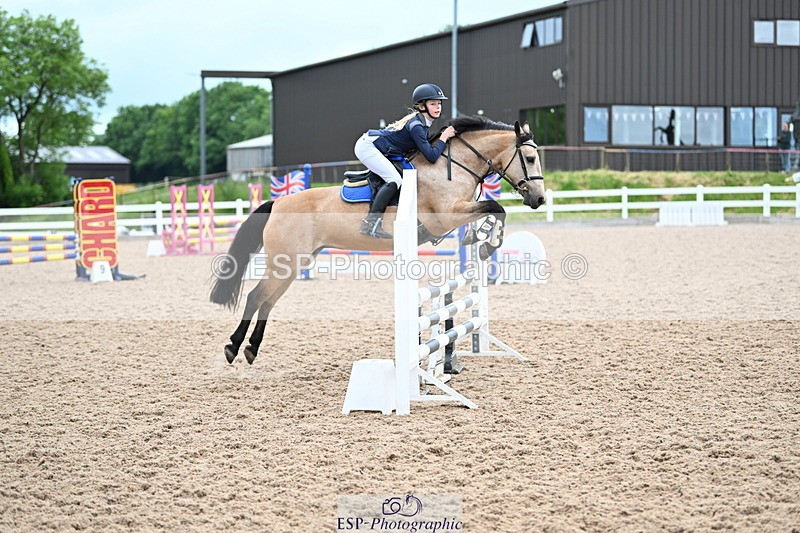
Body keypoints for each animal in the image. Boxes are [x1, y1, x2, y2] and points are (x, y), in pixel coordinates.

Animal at [209, 116, 547, 365]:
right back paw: (234, 347)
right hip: (286, 263)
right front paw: (488, 243)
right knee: (256, 297)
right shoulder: (446, 216)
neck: (452, 166)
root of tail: (278, 203)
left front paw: (478, 237)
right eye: (530, 158)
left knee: (267, 301)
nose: (540, 200)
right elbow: (496, 207)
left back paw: (250, 349)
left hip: (294, 264)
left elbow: (492, 210)